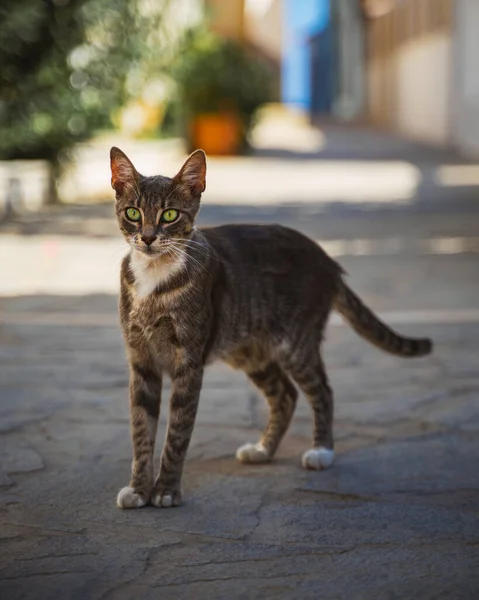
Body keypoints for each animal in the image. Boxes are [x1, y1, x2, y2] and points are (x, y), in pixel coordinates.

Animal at [110, 148, 434, 508]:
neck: (154, 279)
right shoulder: (141, 361)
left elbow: (178, 430)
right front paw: (139, 489)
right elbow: (141, 428)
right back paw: (263, 449)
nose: (148, 238)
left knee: (322, 391)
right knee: (285, 395)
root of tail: (329, 260)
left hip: (296, 343)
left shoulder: (189, 362)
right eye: (133, 213)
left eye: (169, 215)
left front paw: (166, 490)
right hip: (248, 350)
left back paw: (321, 451)